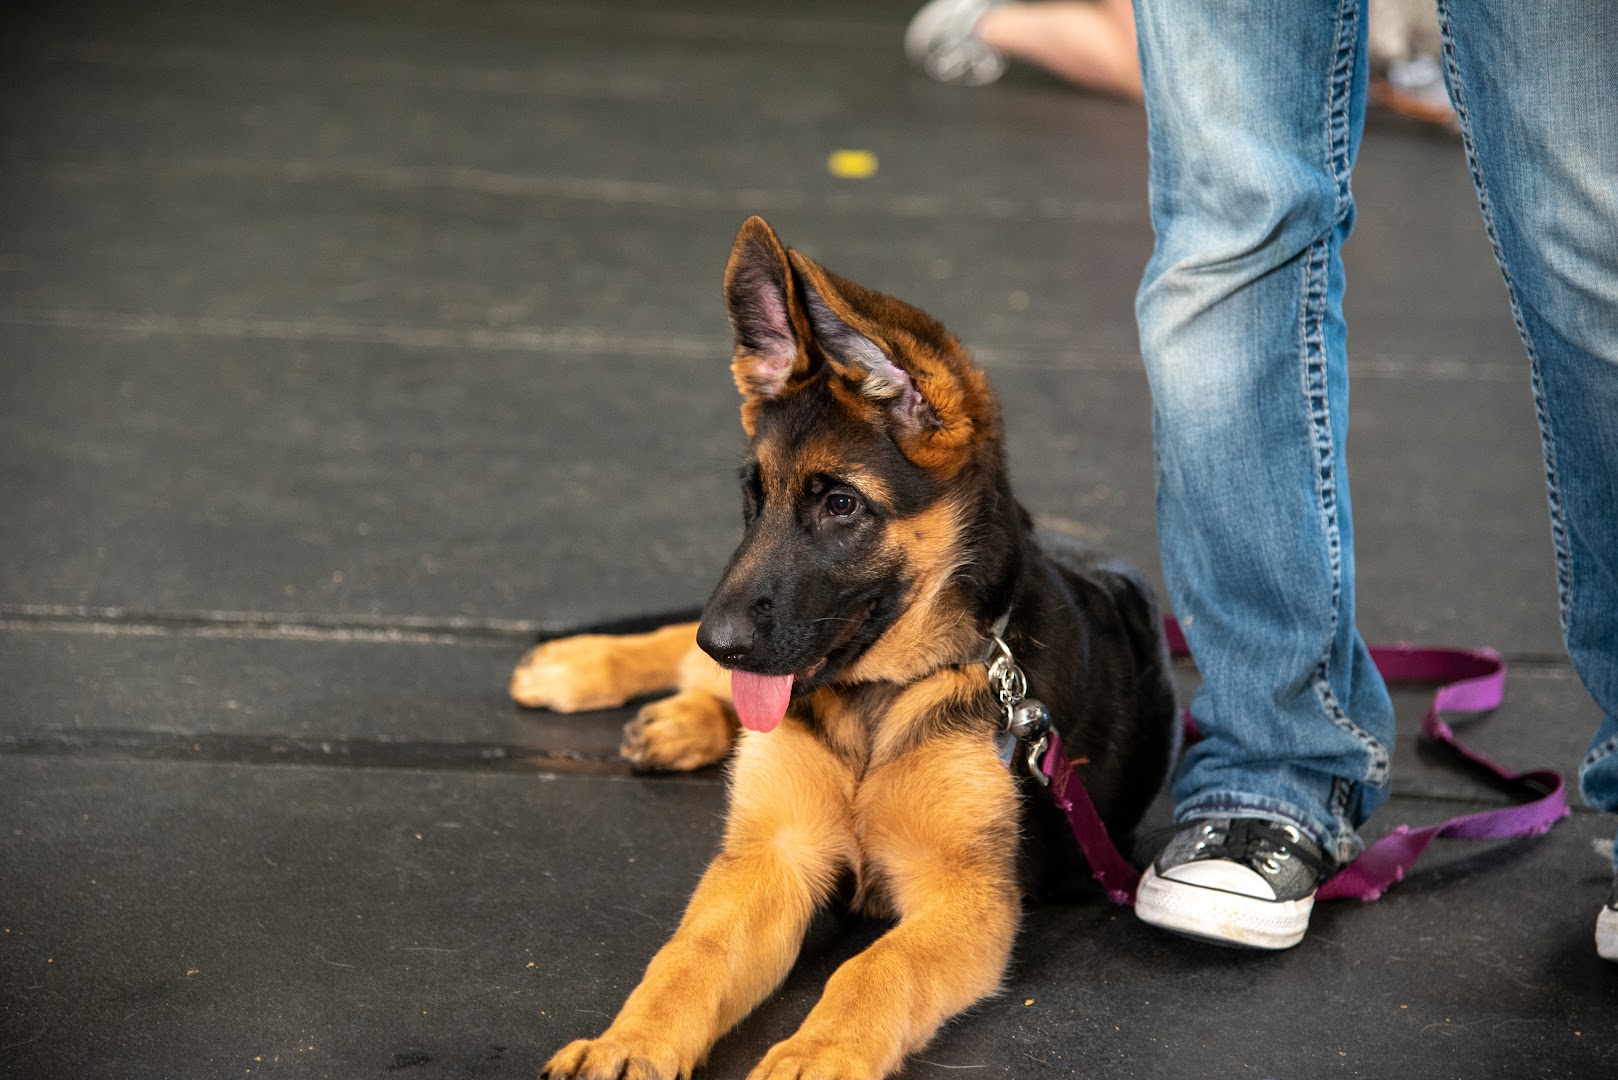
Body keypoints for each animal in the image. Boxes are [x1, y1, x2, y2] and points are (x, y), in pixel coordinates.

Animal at [517, 220, 1177, 1080]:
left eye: (840, 505)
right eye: (752, 498)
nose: (720, 640)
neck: (882, 695)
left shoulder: (964, 896)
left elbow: (876, 969)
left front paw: (814, 1054)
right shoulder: (774, 856)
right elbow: (688, 957)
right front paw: (625, 1045)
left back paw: (681, 716)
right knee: (690, 668)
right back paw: (586, 668)